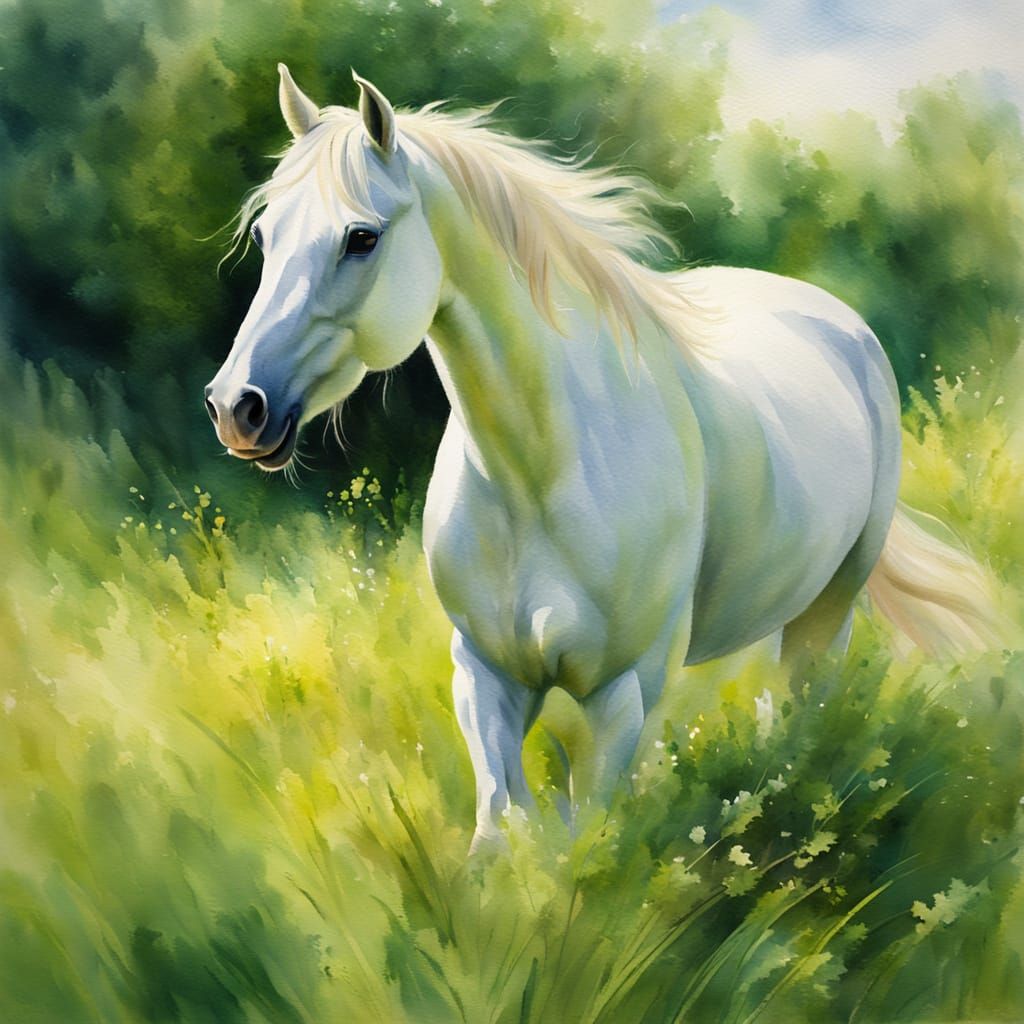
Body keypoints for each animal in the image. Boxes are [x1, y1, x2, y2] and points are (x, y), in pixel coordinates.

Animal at [205, 65, 1000, 851]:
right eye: (267, 234)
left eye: (361, 238)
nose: (237, 406)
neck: (540, 474)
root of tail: (840, 322)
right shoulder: (486, 674)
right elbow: (502, 829)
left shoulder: (622, 694)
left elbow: (593, 842)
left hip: (828, 608)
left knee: (804, 708)